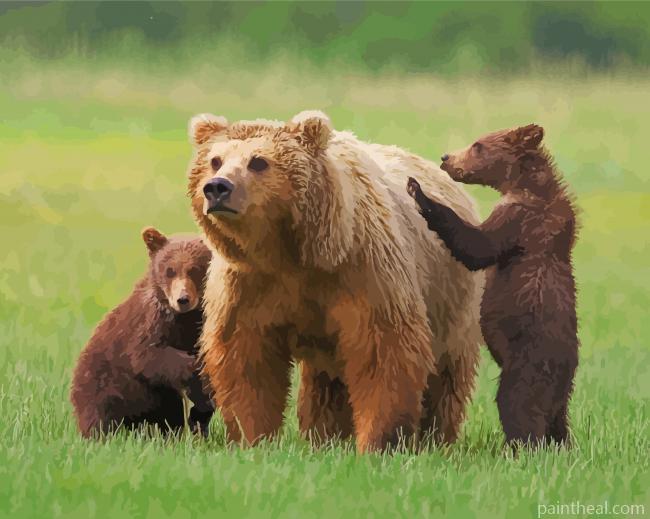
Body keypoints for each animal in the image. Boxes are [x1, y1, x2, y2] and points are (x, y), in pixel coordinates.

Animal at [70, 227, 215, 438]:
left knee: (169, 413)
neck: (183, 318)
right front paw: (194, 370)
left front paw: (201, 409)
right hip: (101, 383)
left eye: (194, 269)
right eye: (170, 270)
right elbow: (148, 354)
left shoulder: (199, 328)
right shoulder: (149, 322)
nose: (183, 299)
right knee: (99, 415)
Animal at [186, 110, 484, 452]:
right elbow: (246, 359)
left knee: (445, 377)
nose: (218, 187)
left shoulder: (363, 270)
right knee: (326, 385)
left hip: (451, 302)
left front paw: (377, 441)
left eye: (258, 161)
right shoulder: (247, 283)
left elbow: (382, 353)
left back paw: (435, 438)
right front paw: (254, 437)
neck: (289, 254)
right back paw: (324, 437)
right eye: (215, 160)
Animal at [406, 124, 579, 445]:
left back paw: (521, 446)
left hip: (529, 363)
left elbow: (477, 245)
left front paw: (418, 191)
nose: (446, 158)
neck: (523, 184)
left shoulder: (519, 220)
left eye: (478, 145)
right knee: (558, 423)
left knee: (518, 406)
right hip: (560, 389)